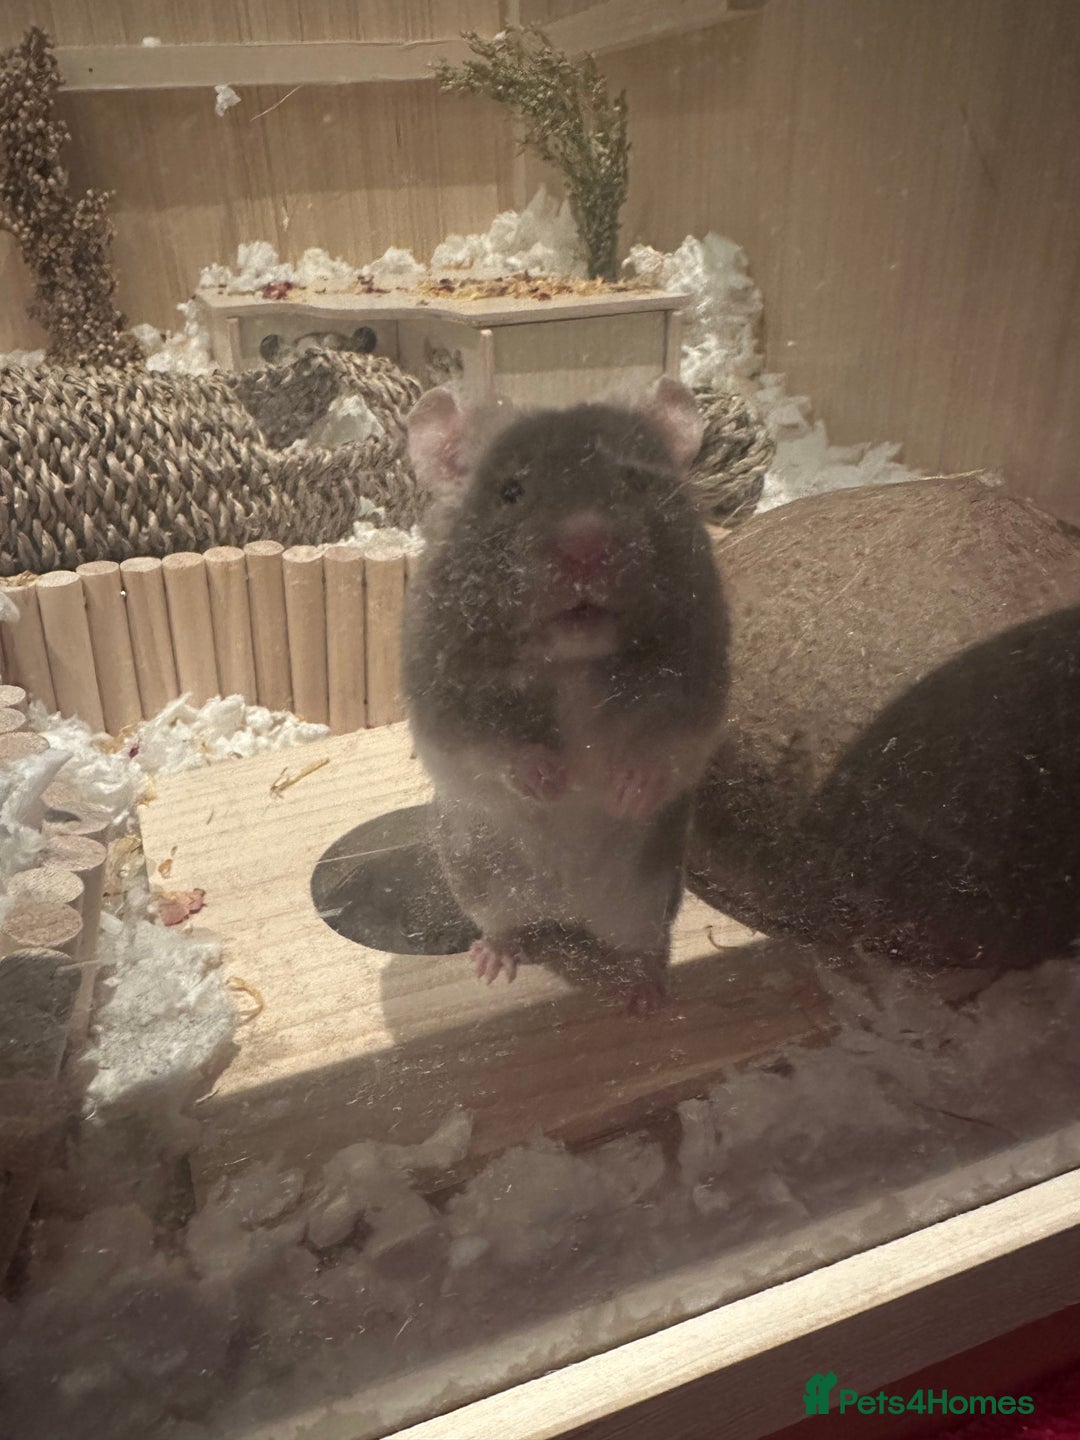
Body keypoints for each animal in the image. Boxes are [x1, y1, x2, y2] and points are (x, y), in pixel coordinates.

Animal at [402, 378, 728, 1012]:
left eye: (635, 482)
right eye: (510, 491)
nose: (586, 543)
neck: (574, 660)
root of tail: (569, 909)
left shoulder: (698, 685)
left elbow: (665, 744)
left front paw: (626, 789)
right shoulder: (445, 699)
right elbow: (493, 747)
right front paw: (552, 781)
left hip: (646, 896)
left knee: (643, 945)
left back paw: (647, 995)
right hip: (482, 881)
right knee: (510, 929)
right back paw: (493, 962)